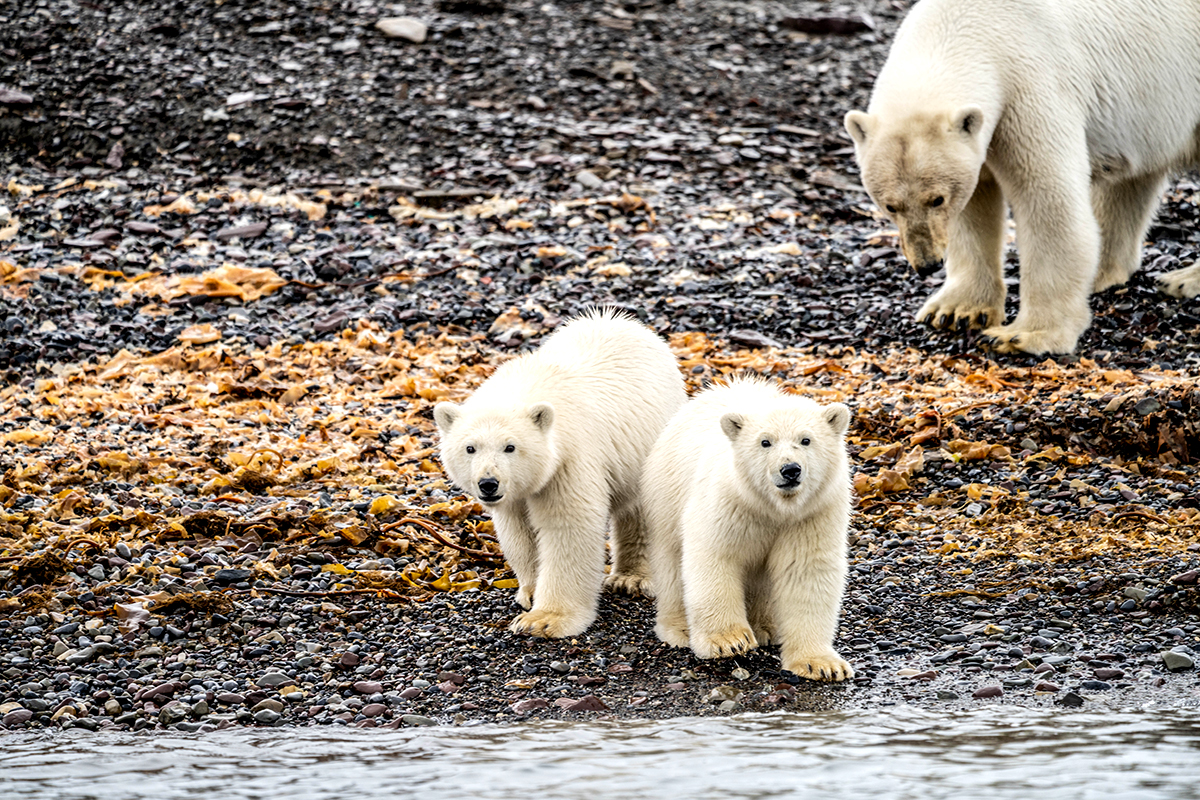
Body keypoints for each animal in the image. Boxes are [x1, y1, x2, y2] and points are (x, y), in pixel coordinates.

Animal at [844, 0, 1200, 352]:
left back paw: (1182, 280)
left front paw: (1023, 335)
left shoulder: (1029, 89)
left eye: (937, 199)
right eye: (890, 206)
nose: (927, 264)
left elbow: (1048, 201)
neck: (967, 25)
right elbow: (975, 205)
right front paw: (956, 311)